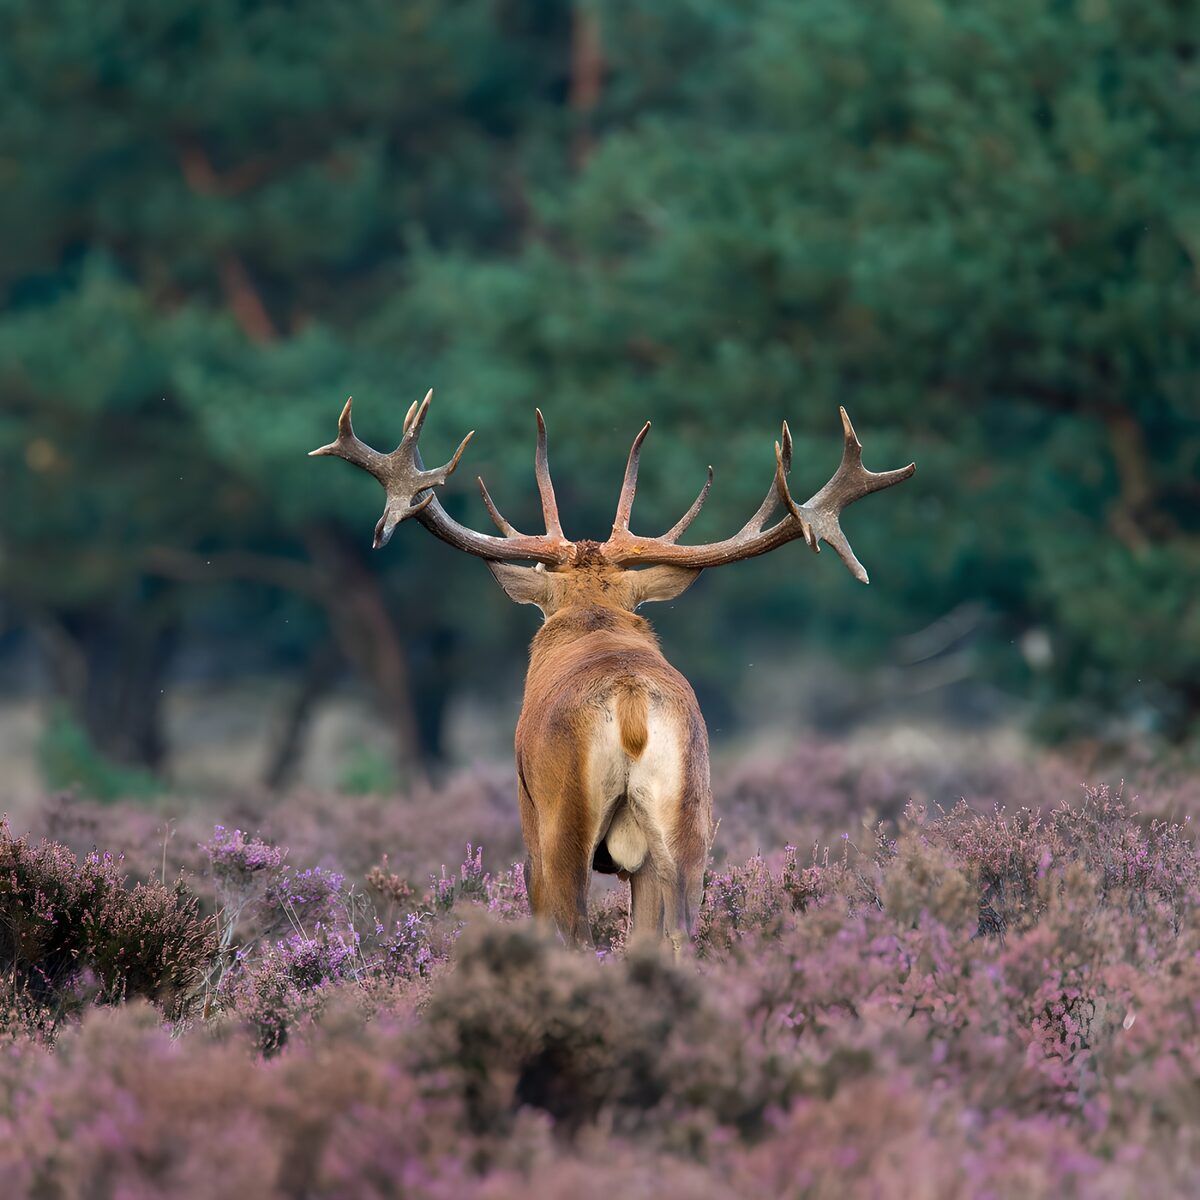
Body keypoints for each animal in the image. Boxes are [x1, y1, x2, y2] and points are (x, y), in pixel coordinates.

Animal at [311, 391, 914, 952]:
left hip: (563, 818)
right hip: (689, 815)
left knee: (573, 926)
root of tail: (630, 703)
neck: (593, 619)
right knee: (677, 929)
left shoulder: (528, 815)